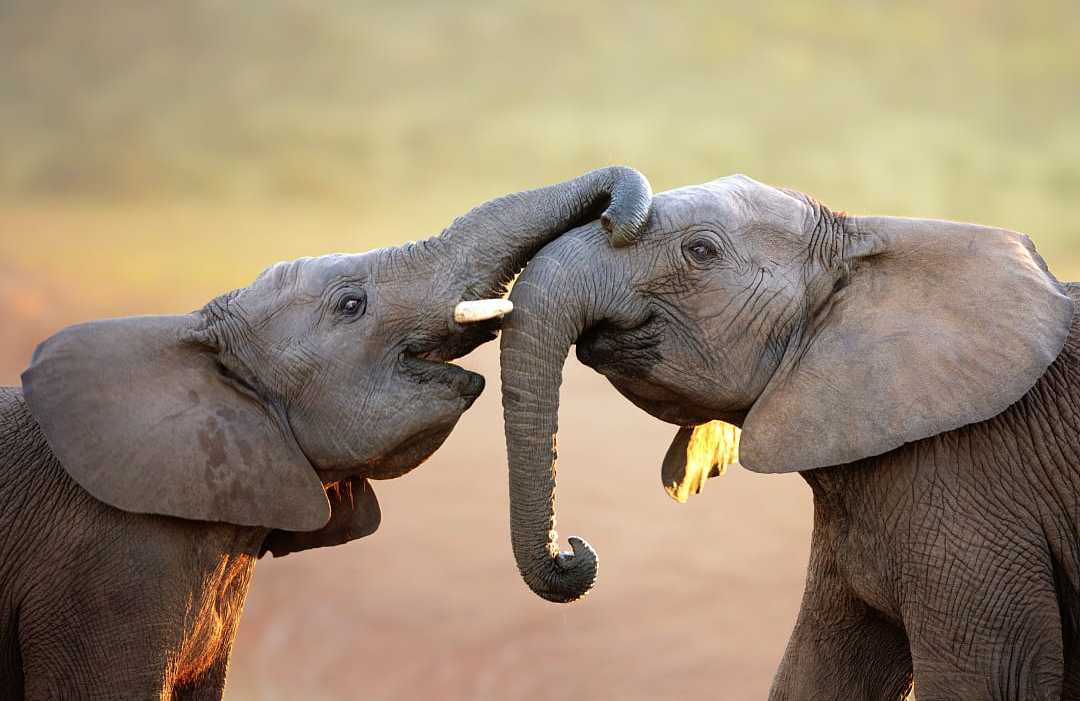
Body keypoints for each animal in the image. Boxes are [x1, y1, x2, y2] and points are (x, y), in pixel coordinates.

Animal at [498, 174, 1080, 700]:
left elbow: (991, 678)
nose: (572, 551)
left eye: (701, 250)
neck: (863, 245)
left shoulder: (973, 486)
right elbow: (819, 670)